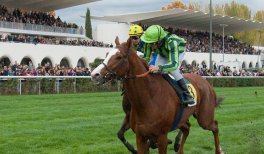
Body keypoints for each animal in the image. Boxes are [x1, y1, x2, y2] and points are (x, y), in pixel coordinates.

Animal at [91, 37, 223, 154]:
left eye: (119, 57)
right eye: (107, 54)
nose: (94, 74)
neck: (148, 99)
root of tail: (205, 81)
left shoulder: (162, 136)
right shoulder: (140, 135)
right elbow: (124, 136)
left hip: (204, 118)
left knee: (215, 126)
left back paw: (219, 150)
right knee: (187, 128)